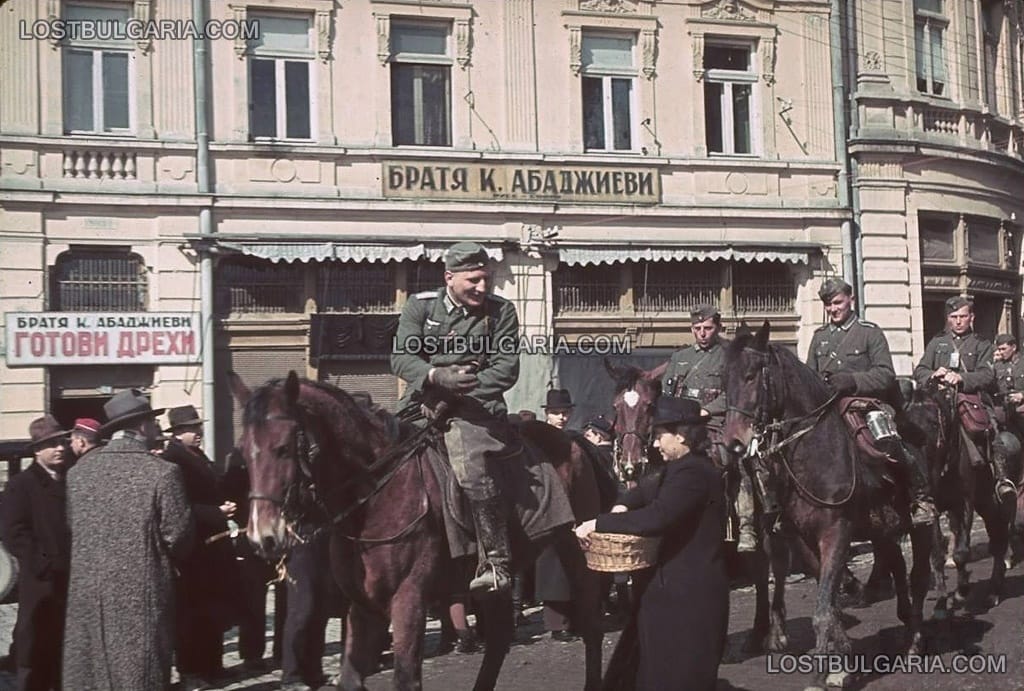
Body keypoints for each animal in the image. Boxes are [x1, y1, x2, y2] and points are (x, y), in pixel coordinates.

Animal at [232, 372, 606, 691]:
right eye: (244, 453)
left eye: (283, 448)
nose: (263, 536)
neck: (377, 496)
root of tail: (571, 438)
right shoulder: (363, 605)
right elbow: (352, 679)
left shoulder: (408, 598)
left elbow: (406, 679)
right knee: (500, 637)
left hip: (574, 547)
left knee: (591, 620)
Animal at [602, 356, 794, 655]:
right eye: (616, 407)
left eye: (649, 405)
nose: (629, 466)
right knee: (760, 570)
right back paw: (756, 634)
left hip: (771, 522)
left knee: (779, 562)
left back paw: (777, 633)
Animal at [720, 323, 937, 691]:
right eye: (725, 381)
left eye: (750, 376)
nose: (733, 444)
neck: (814, 452)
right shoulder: (802, 539)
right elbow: (828, 601)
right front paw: (841, 661)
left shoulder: (837, 533)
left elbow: (823, 610)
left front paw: (823, 673)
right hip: (881, 528)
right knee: (894, 563)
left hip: (920, 525)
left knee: (918, 577)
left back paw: (915, 641)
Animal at [901, 380, 1019, 614]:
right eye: (904, 425)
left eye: (933, 423)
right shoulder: (934, 510)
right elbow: (936, 554)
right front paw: (941, 604)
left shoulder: (964, 503)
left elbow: (961, 552)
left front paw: (961, 592)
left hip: (998, 506)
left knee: (1000, 541)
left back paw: (994, 591)